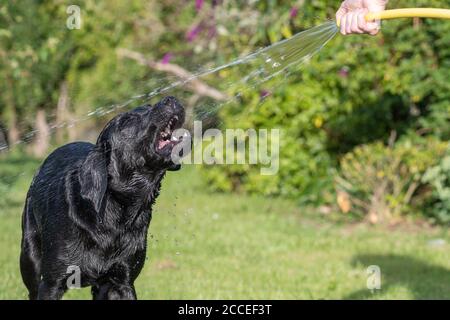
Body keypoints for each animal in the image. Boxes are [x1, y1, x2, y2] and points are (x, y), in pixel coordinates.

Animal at [20, 96, 185, 298]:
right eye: (127, 121)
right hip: (30, 256)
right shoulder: (52, 283)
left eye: (148, 106)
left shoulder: (122, 282)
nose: (170, 99)